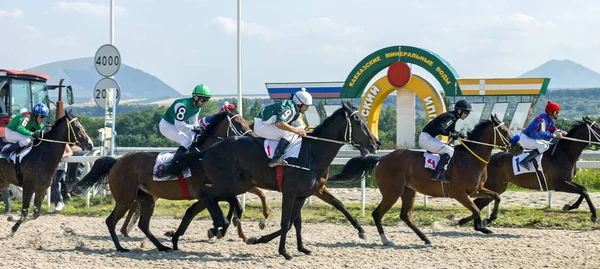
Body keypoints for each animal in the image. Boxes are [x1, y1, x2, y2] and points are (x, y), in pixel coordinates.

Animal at [72, 107, 260, 251]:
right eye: (238, 123)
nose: (253, 138)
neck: (203, 156)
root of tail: (117, 161)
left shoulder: (218, 189)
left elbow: (232, 204)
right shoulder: (204, 191)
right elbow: (211, 209)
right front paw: (216, 229)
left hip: (146, 198)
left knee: (143, 224)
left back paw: (162, 246)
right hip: (125, 198)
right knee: (111, 221)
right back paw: (120, 247)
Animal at [164, 100, 380, 258]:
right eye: (358, 121)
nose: (375, 143)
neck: (313, 153)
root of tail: (208, 150)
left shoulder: (307, 193)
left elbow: (308, 217)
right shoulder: (290, 192)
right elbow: (286, 222)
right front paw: (283, 251)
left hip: (239, 184)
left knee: (207, 200)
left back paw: (209, 228)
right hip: (227, 183)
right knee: (206, 195)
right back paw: (218, 225)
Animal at [330, 113, 524, 245]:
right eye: (504, 131)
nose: (520, 147)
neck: (470, 158)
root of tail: (382, 158)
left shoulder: (476, 190)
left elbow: (495, 197)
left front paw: (487, 221)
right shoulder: (459, 193)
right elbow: (476, 208)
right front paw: (479, 225)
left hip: (408, 191)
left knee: (405, 215)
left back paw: (425, 238)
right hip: (392, 192)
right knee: (378, 213)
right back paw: (386, 240)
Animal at [460, 115, 600, 224]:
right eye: (598, 128)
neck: (564, 153)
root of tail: (487, 160)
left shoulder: (567, 181)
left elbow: (584, 189)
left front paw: (570, 206)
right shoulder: (559, 184)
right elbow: (583, 192)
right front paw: (593, 215)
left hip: (499, 187)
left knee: (481, 202)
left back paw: (471, 221)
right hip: (493, 185)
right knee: (479, 202)